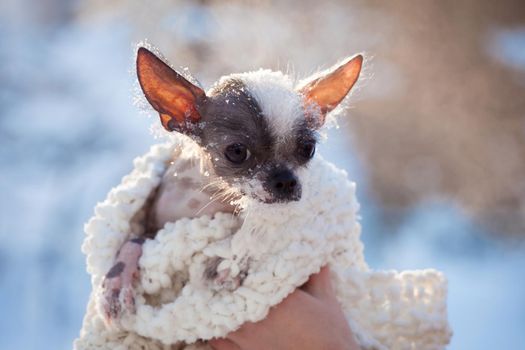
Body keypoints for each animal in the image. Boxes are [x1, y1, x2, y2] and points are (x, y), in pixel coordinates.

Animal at [101, 45, 360, 322]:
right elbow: (130, 243)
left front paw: (231, 263)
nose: (286, 181)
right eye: (236, 152)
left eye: (308, 149)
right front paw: (116, 285)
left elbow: (257, 234)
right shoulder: (152, 228)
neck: (208, 193)